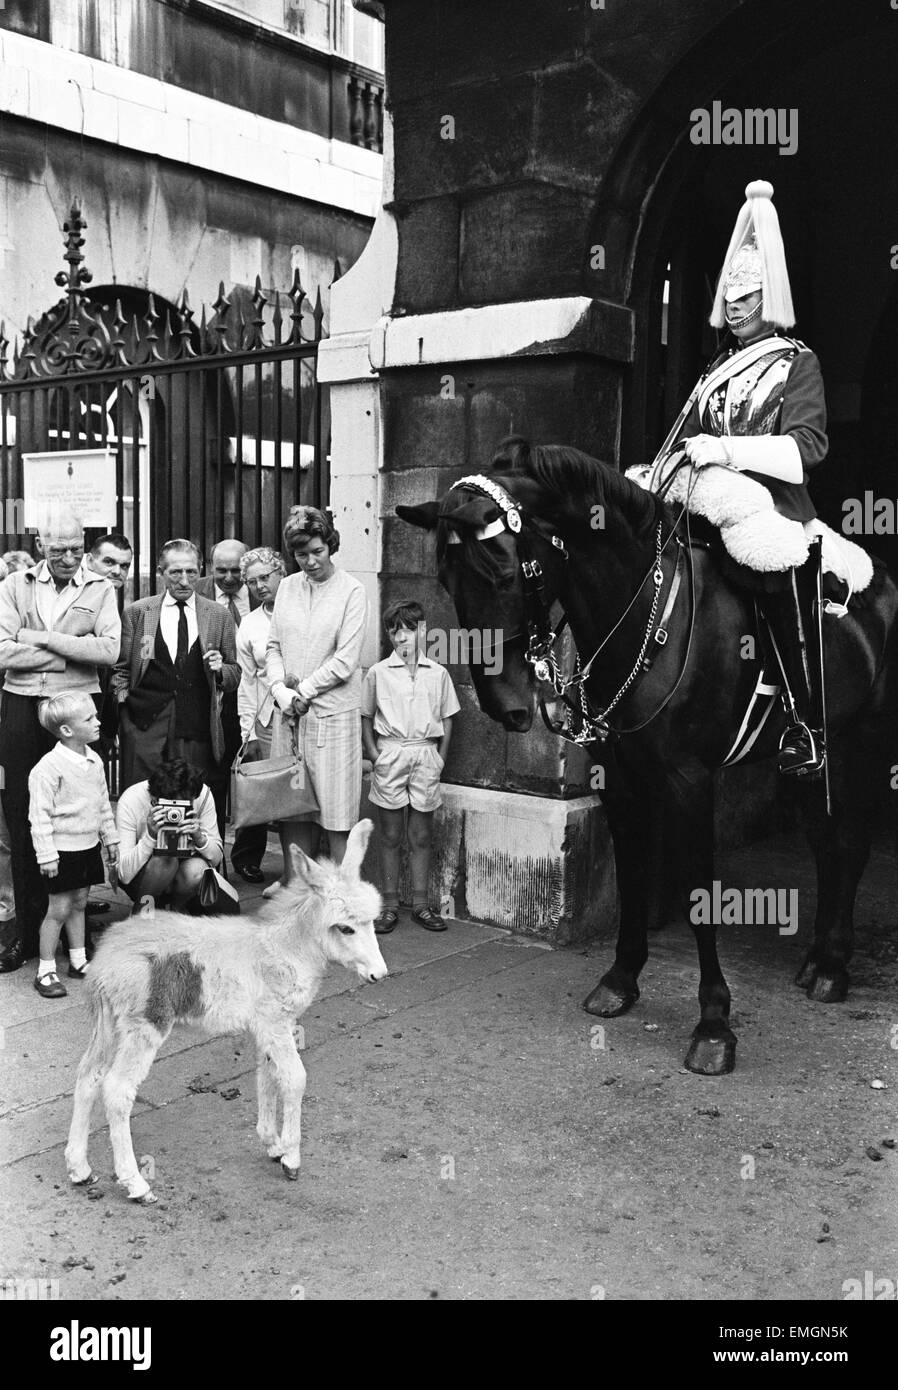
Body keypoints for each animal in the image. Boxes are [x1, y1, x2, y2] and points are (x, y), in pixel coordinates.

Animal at [63, 817, 386, 1200]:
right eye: (345, 928)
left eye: (371, 923)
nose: (379, 974)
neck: (283, 948)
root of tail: (104, 959)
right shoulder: (276, 1024)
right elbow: (295, 1079)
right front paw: (291, 1159)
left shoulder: (267, 1028)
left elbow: (267, 1076)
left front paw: (272, 1144)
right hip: (145, 1025)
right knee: (117, 1090)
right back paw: (136, 1183)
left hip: (111, 1023)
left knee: (88, 1076)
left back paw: (80, 1170)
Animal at [400, 433, 898, 1073]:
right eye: (445, 579)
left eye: (505, 573)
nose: (505, 706)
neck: (648, 612)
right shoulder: (621, 778)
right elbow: (633, 874)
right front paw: (620, 980)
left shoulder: (690, 783)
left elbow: (699, 893)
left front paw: (713, 1025)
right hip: (812, 766)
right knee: (826, 844)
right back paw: (817, 961)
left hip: (864, 742)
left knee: (852, 842)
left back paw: (834, 968)